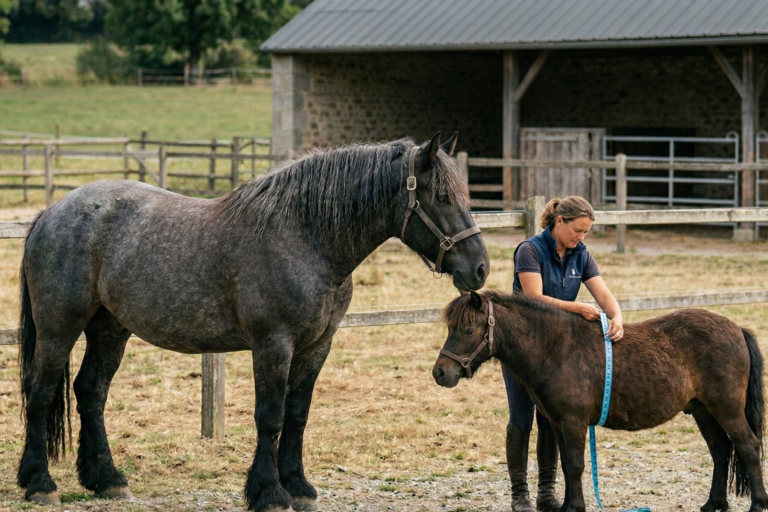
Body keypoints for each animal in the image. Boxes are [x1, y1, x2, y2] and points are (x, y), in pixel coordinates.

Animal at [16, 133, 490, 511]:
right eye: (441, 197)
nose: (480, 268)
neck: (307, 236)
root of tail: (51, 212)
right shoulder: (273, 344)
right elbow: (270, 416)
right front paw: (269, 493)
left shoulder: (317, 346)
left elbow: (297, 414)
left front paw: (299, 487)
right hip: (59, 327)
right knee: (40, 393)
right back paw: (40, 484)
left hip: (110, 327)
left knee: (91, 392)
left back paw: (107, 481)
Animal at [433, 290, 767, 512]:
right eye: (451, 328)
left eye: (468, 329)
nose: (440, 372)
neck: (555, 347)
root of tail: (737, 329)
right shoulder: (557, 422)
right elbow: (565, 464)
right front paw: (567, 505)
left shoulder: (574, 422)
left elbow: (576, 465)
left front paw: (575, 507)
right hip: (703, 410)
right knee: (721, 450)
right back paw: (714, 503)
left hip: (726, 409)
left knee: (748, 447)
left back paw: (756, 504)